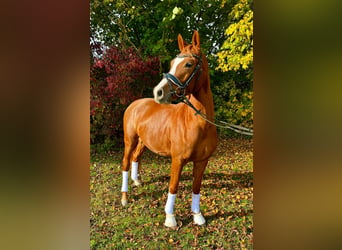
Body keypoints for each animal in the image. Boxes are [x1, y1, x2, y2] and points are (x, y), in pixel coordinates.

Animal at [120, 30, 216, 228]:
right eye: (172, 63)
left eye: (188, 64)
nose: (158, 92)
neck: (197, 124)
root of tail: (134, 104)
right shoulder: (177, 160)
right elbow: (173, 186)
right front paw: (170, 218)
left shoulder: (202, 161)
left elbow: (196, 187)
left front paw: (197, 215)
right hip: (130, 140)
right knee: (125, 162)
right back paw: (124, 198)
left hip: (143, 142)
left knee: (135, 157)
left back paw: (137, 181)